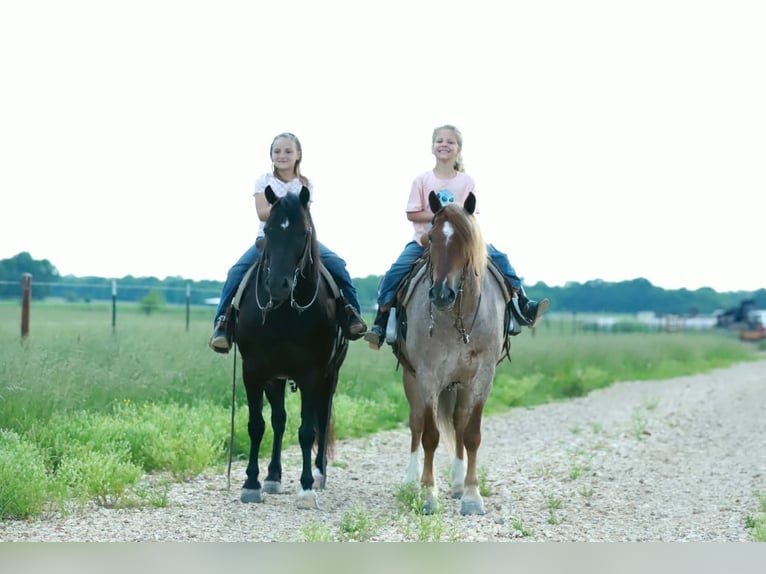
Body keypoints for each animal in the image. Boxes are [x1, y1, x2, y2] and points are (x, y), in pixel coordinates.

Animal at [233, 185, 348, 509]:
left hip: (330, 376)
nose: (277, 286)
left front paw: (306, 488)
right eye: (269, 231)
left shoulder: (312, 374)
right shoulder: (254, 370)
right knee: (279, 420)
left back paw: (319, 475)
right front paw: (251, 483)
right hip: (276, 378)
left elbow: (307, 431)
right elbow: (257, 425)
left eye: (303, 232)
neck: (284, 311)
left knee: (322, 417)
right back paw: (273, 477)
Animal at [394, 190, 508, 515]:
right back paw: (410, 481)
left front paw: (471, 495)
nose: (441, 294)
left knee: (458, 424)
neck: (459, 317)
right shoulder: (427, 376)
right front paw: (428, 495)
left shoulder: (482, 378)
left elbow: (471, 434)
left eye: (465, 240)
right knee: (416, 423)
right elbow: (430, 435)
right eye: (431, 237)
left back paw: (457, 484)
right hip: (411, 377)